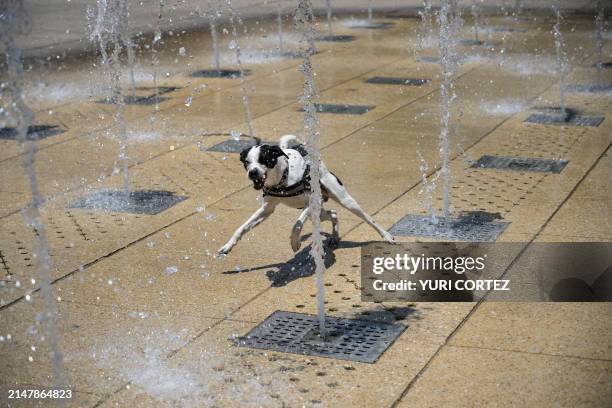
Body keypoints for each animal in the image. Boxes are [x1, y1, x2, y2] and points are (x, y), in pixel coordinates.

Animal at [218, 135, 394, 255]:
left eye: (264, 159)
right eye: (246, 162)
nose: (252, 173)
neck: (283, 178)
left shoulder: (312, 202)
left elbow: (296, 225)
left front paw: (294, 242)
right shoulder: (266, 210)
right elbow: (242, 228)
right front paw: (228, 246)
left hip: (343, 200)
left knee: (368, 219)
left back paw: (387, 236)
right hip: (319, 212)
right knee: (333, 213)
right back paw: (334, 237)